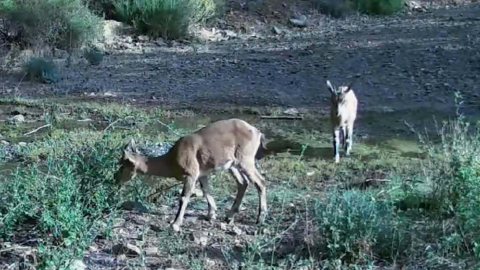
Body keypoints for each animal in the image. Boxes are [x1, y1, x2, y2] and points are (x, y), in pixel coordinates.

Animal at [114, 118, 268, 232]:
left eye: (123, 167)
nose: (115, 179)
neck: (171, 161)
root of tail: (257, 132)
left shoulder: (191, 173)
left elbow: (184, 197)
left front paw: (175, 224)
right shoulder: (202, 174)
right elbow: (206, 191)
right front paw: (211, 215)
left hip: (245, 159)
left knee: (260, 181)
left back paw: (260, 218)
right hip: (233, 165)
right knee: (243, 182)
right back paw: (229, 216)